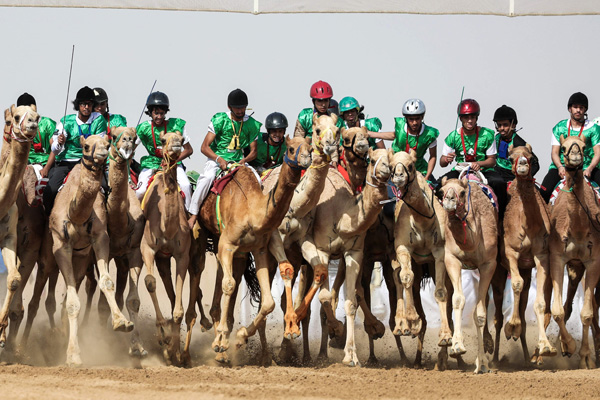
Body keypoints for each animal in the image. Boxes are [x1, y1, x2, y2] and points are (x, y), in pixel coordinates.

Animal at [49, 134, 133, 366]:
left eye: (106, 143)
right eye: (86, 146)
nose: (102, 153)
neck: (76, 215)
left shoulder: (101, 237)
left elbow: (107, 282)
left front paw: (121, 322)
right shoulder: (60, 245)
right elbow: (72, 303)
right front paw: (73, 355)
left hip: (83, 257)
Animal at [197, 137, 312, 362]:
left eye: (311, 148)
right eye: (291, 148)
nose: (306, 159)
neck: (252, 210)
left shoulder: (258, 249)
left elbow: (268, 302)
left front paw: (240, 337)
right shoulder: (227, 244)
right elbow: (229, 285)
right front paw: (221, 342)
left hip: (228, 247)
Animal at [438, 173, 498, 373]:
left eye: (462, 192)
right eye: (441, 191)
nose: (449, 201)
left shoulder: (489, 264)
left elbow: (480, 314)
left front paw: (482, 364)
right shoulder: (451, 259)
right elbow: (458, 300)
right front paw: (457, 345)